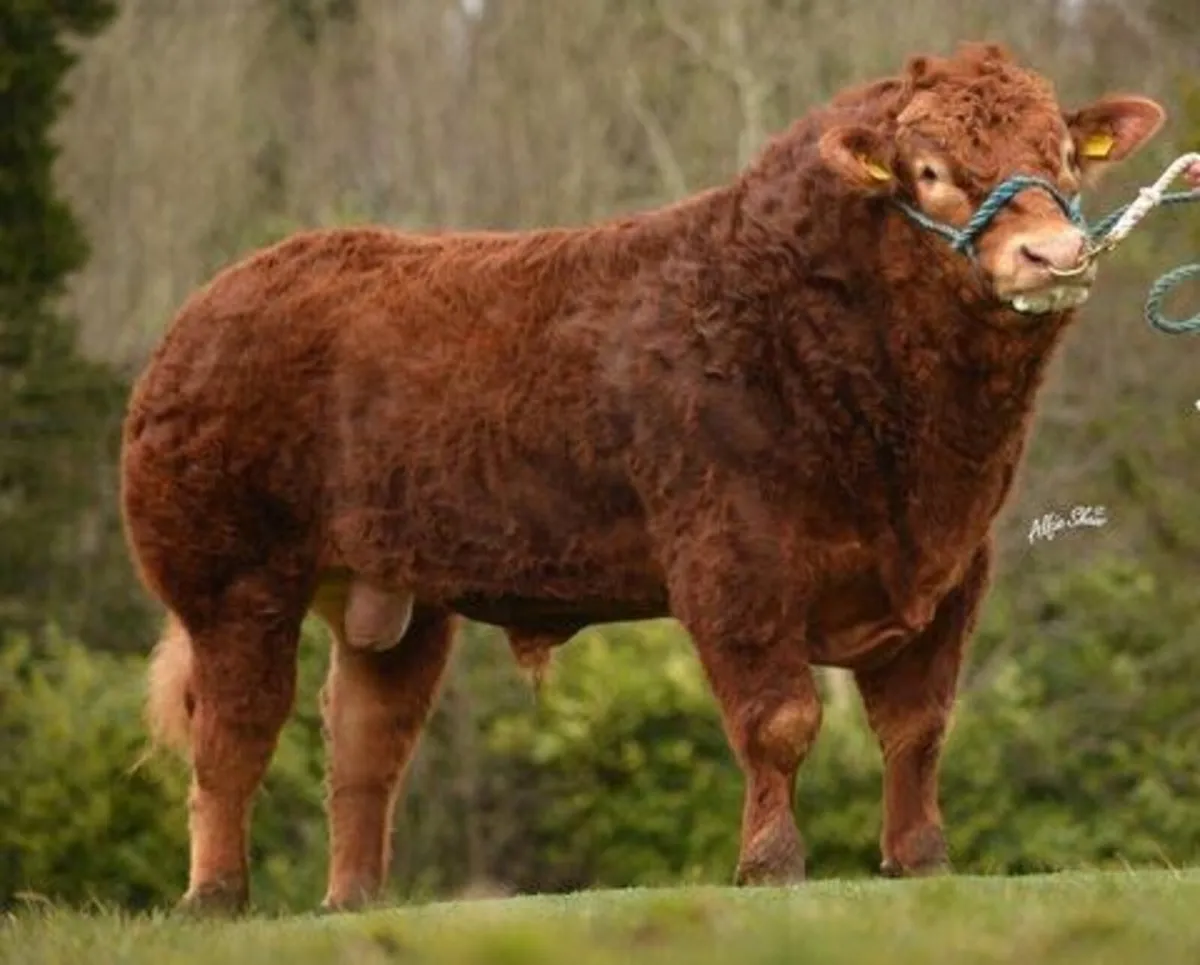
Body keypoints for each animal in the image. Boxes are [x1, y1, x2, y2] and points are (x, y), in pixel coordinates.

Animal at [121, 42, 1170, 914]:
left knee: (364, 744)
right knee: (234, 736)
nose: (1052, 254)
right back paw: (215, 897)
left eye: (1066, 157)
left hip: (393, 597)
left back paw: (354, 900)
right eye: (931, 172)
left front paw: (920, 859)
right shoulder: (732, 557)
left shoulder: (954, 567)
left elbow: (918, 725)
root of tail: (219, 298)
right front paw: (771, 864)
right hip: (232, 580)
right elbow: (781, 719)